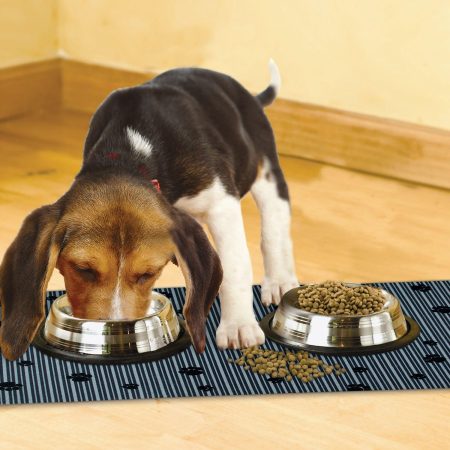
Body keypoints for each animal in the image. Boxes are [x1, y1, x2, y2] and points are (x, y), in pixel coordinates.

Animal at [0, 59, 298, 362]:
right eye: (83, 270)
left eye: (148, 273)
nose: (114, 332)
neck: (128, 155)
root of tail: (249, 96)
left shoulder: (221, 203)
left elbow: (235, 266)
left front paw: (238, 325)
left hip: (266, 173)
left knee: (274, 230)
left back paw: (279, 281)